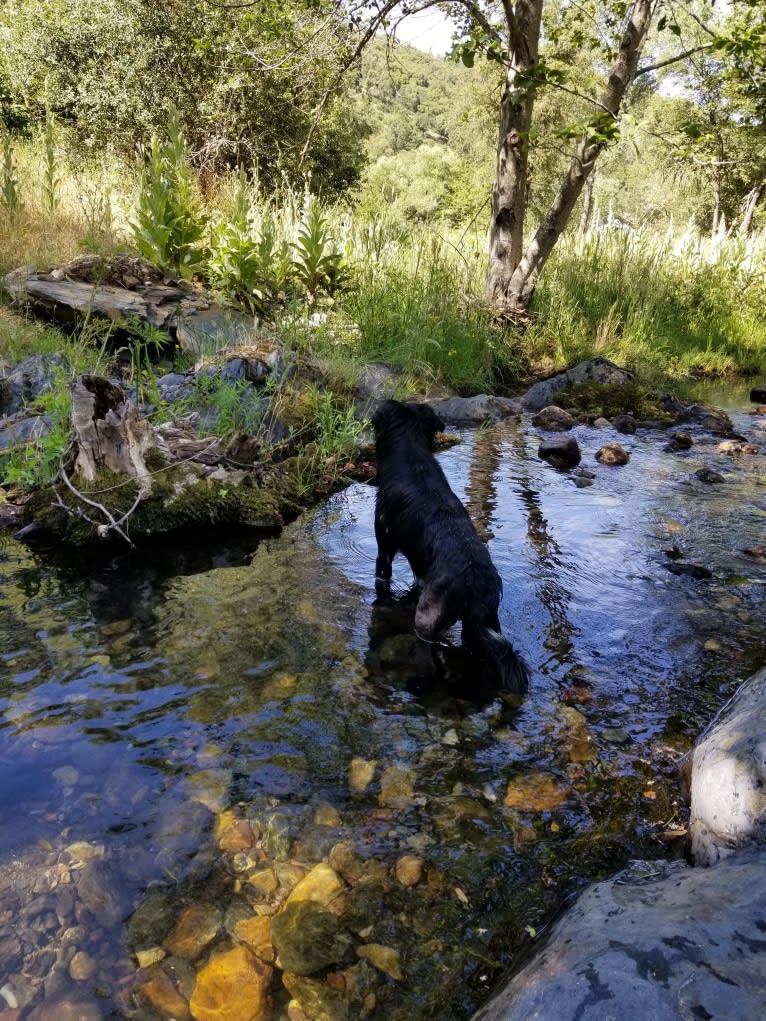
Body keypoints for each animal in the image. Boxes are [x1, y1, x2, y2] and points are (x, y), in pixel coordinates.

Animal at [369, 398, 527, 694]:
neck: (412, 458)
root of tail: (474, 581)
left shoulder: (384, 549)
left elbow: (382, 580)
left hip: (427, 618)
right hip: (483, 623)